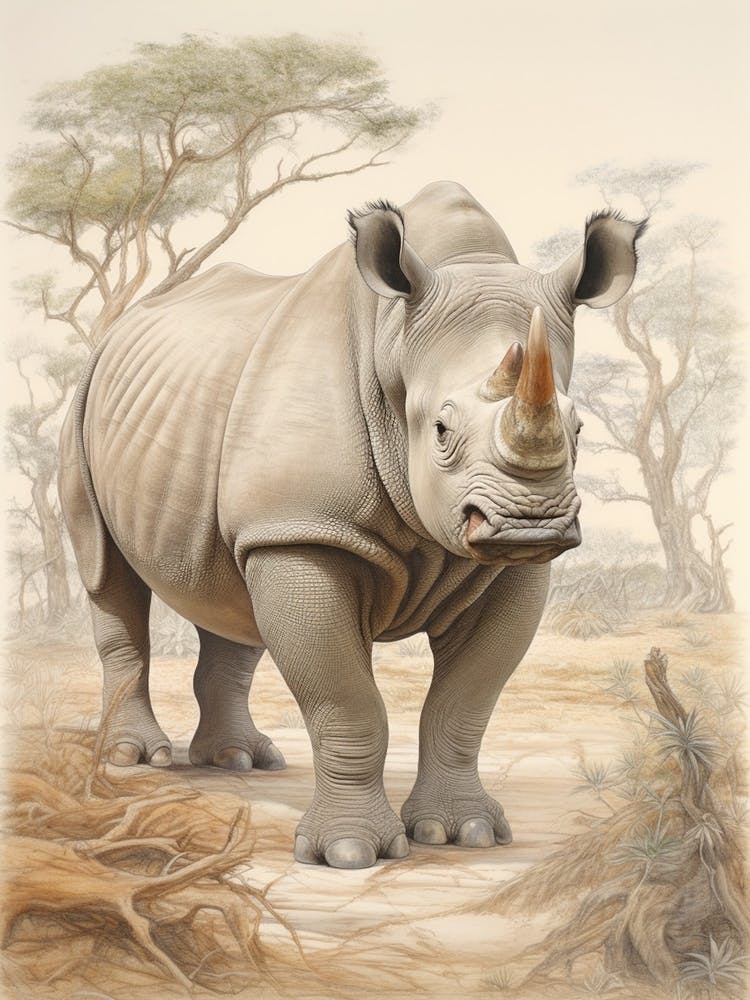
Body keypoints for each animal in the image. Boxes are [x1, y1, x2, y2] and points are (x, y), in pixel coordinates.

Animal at [59, 181, 642, 869]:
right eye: (440, 430)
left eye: (579, 429)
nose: (532, 525)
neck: (396, 344)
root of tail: (118, 329)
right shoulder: (306, 531)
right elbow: (348, 703)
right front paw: (348, 854)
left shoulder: (500, 569)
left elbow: (466, 702)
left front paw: (462, 833)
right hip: (85, 399)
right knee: (106, 571)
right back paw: (132, 758)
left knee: (232, 591)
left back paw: (238, 761)